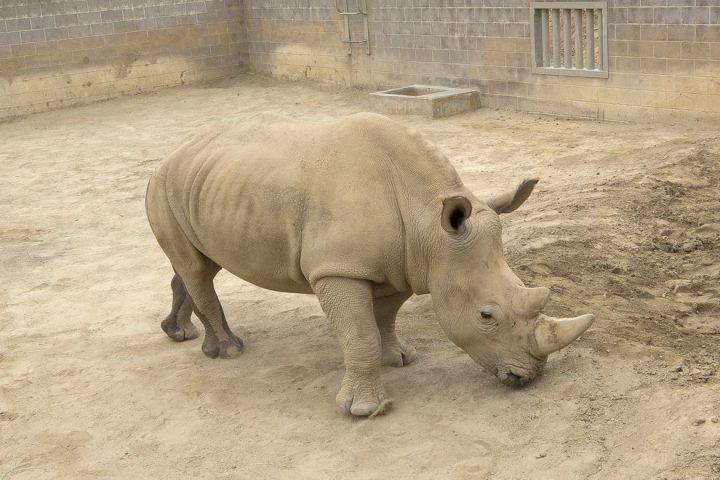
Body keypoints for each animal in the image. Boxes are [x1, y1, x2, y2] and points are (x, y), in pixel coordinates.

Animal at [146, 112, 594, 417]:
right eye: (486, 315)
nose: (530, 378)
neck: (427, 220)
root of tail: (170, 154)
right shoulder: (338, 268)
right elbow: (359, 334)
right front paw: (365, 410)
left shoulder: (403, 264)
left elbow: (385, 318)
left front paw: (398, 358)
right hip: (166, 186)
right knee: (197, 268)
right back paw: (229, 352)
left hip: (209, 185)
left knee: (198, 264)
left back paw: (182, 336)